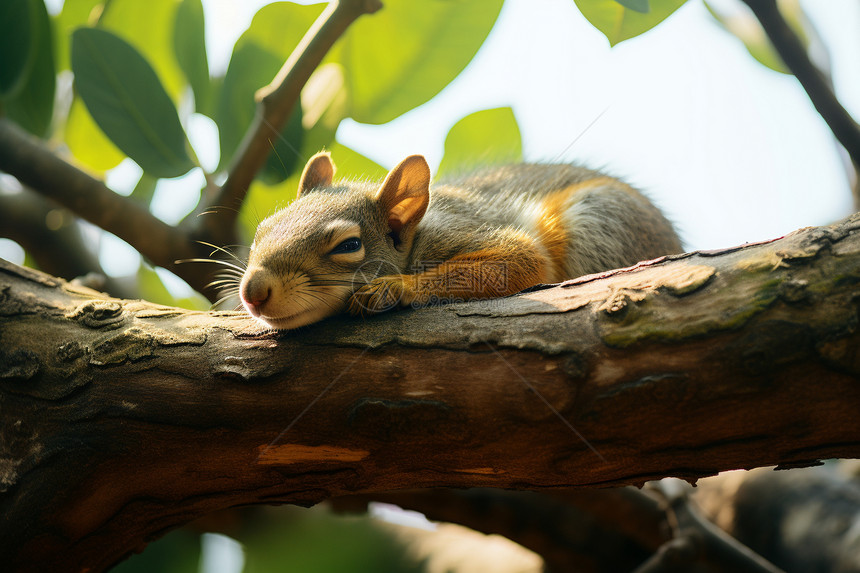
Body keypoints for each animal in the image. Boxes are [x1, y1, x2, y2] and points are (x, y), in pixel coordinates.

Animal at [239, 151, 680, 330]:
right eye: (259, 233)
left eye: (348, 246)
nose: (253, 291)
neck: (418, 234)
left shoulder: (460, 228)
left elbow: (521, 259)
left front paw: (393, 287)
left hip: (600, 220)